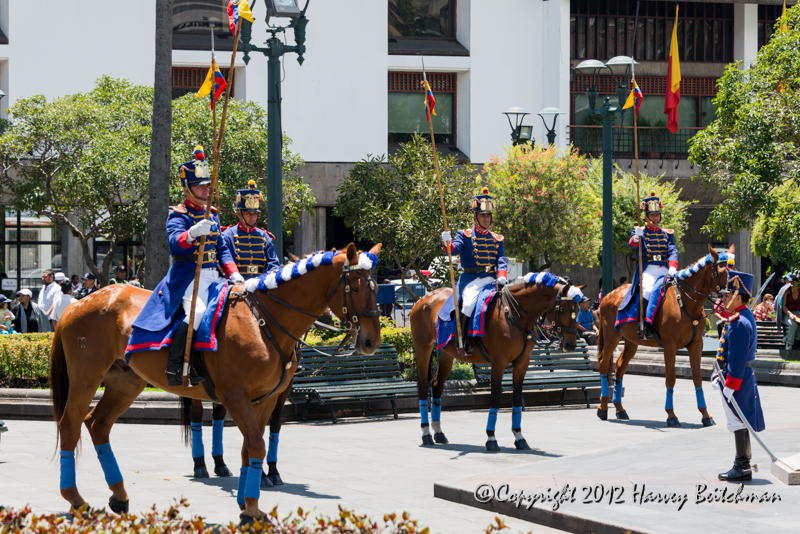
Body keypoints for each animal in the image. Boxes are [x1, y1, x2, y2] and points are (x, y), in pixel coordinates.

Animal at [50, 245, 382, 524]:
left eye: (376, 288)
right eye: (354, 286)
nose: (371, 341)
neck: (263, 322)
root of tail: (80, 302)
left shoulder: (265, 399)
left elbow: (251, 448)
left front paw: (248, 504)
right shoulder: (236, 397)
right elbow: (256, 444)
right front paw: (250, 507)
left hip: (125, 382)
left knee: (98, 424)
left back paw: (118, 496)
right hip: (87, 378)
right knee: (70, 425)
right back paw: (76, 499)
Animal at [412, 276, 580, 452]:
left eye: (578, 310)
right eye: (563, 310)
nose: (570, 345)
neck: (514, 314)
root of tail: (423, 298)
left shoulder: (522, 363)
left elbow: (517, 397)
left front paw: (519, 437)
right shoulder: (498, 362)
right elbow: (495, 396)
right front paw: (491, 438)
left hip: (446, 353)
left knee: (437, 384)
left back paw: (438, 432)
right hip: (423, 349)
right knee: (423, 385)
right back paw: (426, 433)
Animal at [592, 246, 732, 428]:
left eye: (730, 271)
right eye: (721, 272)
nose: (730, 295)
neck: (685, 302)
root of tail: (609, 294)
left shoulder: (696, 345)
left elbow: (697, 378)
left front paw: (705, 415)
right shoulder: (669, 345)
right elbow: (670, 378)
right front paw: (671, 415)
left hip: (631, 341)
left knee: (620, 366)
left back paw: (619, 409)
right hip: (611, 337)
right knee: (603, 363)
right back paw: (603, 408)